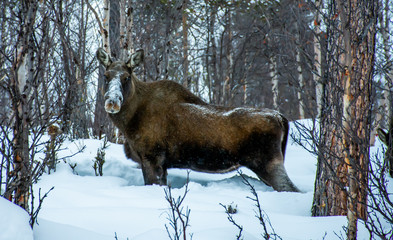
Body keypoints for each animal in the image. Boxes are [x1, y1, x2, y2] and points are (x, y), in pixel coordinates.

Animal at [96, 47, 298, 192]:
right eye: (106, 76)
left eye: (126, 77)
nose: (112, 102)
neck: (128, 122)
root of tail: (281, 118)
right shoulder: (162, 164)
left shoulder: (152, 157)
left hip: (268, 163)